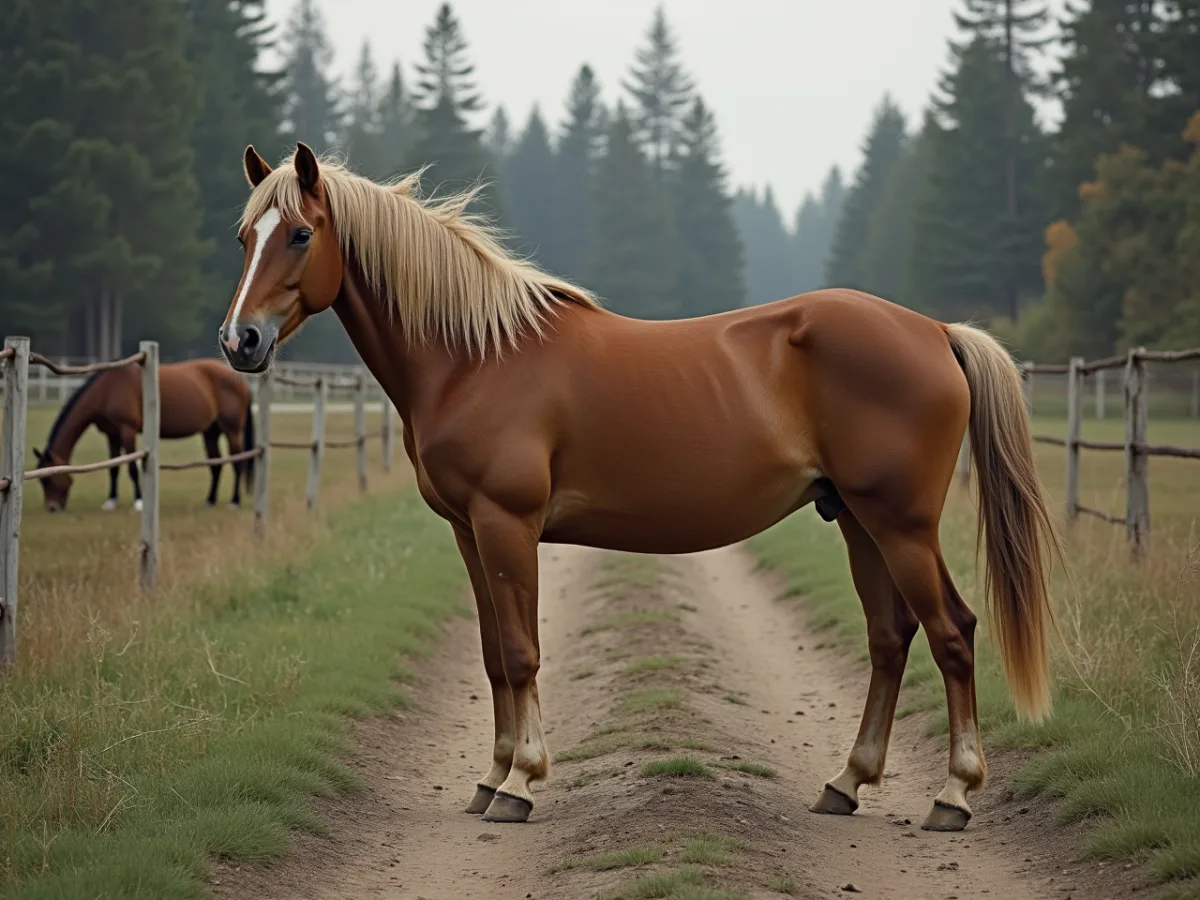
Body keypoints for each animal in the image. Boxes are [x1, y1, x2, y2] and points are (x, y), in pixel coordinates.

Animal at [33, 358, 256, 513]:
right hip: (210, 432)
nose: (52, 507)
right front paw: (110, 502)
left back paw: (234, 502)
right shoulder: (112, 434)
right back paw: (210, 501)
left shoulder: (127, 430)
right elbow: (114, 468)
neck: (107, 389)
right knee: (216, 465)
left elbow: (132, 468)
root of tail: (241, 381)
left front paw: (139, 502)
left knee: (238, 463)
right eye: (41, 480)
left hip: (231, 430)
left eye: (49, 479)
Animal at [217, 142, 1059, 832]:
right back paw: (846, 783)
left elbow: (521, 652)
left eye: (300, 234)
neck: (475, 358)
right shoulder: (467, 530)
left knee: (952, 631)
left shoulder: (506, 524)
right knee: (890, 637)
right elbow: (492, 655)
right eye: (245, 238)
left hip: (902, 524)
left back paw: (953, 796)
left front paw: (520, 783)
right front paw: (490, 778)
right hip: (856, 519)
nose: (240, 341)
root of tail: (936, 332)